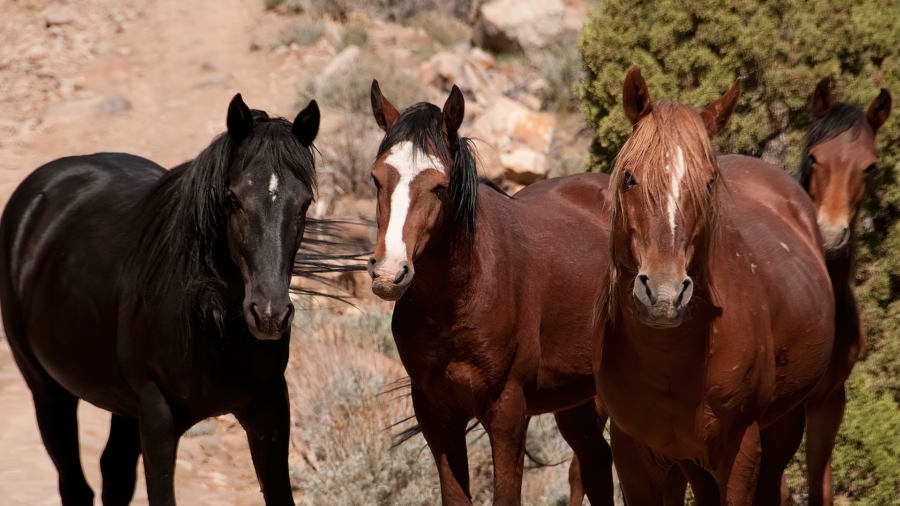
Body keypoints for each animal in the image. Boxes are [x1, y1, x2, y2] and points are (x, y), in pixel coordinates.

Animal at [0, 94, 319, 506]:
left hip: (121, 404)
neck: (211, 325)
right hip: (48, 391)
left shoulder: (270, 408)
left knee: (114, 474)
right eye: (233, 198)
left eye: (305, 203)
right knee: (75, 485)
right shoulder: (158, 415)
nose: (269, 316)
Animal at [366, 80, 615, 506]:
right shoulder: (436, 415)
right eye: (376, 178)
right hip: (576, 399)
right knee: (595, 463)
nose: (388, 272)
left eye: (439, 186)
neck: (458, 303)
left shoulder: (508, 412)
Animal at [593, 68, 835, 505]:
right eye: (629, 177)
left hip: (784, 425)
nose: (664, 295)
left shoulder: (740, 451)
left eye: (707, 184)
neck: (668, 360)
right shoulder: (633, 454)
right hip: (692, 461)